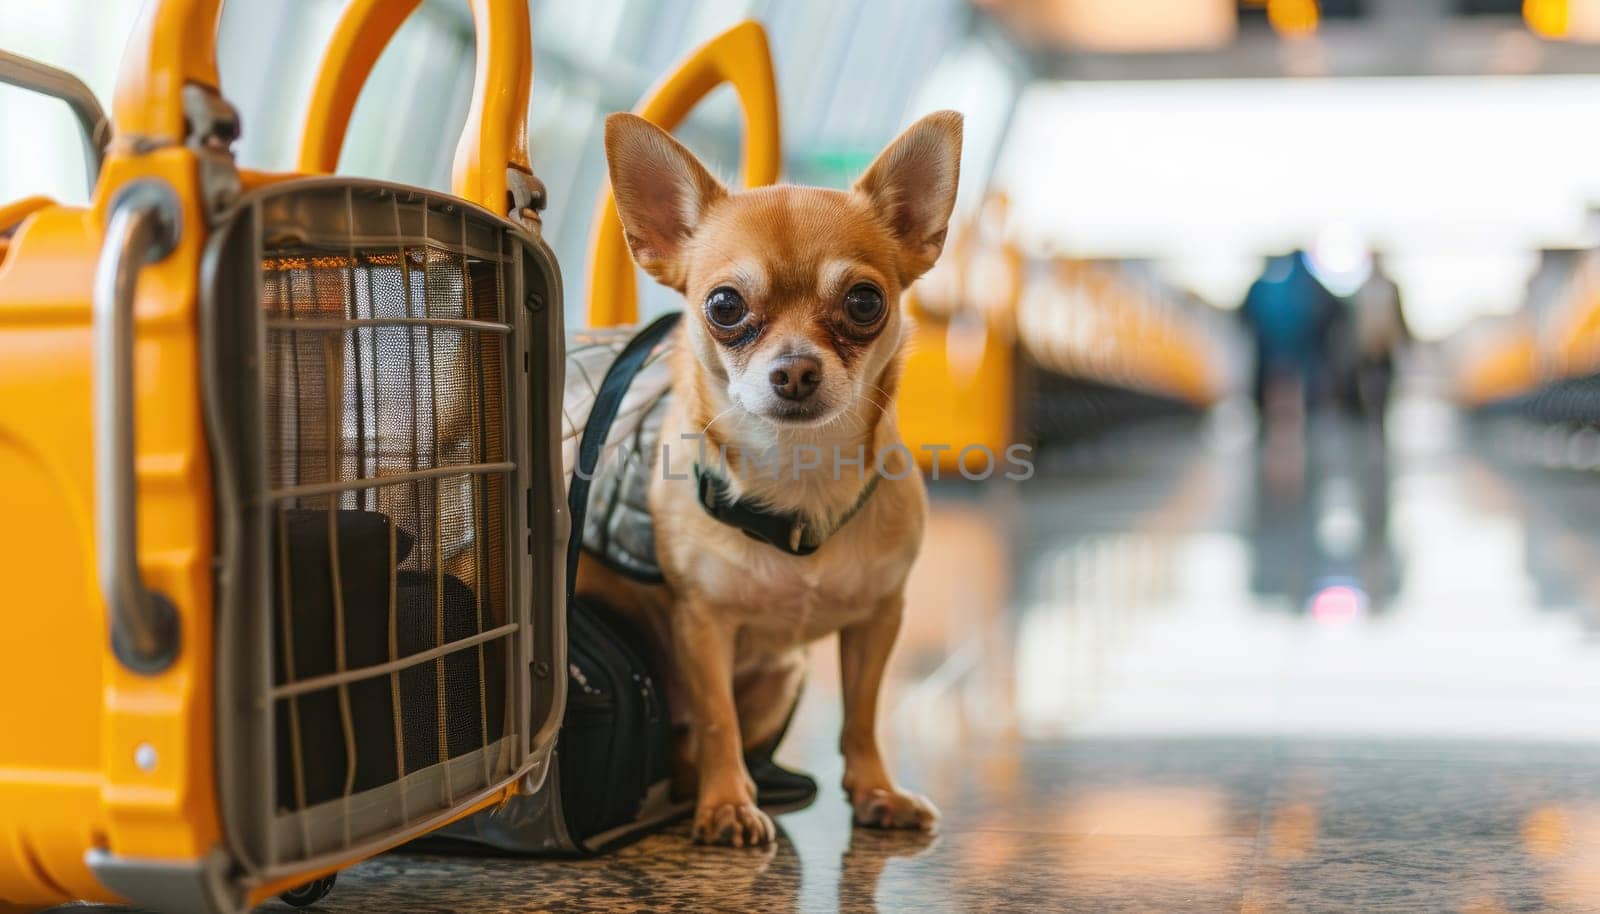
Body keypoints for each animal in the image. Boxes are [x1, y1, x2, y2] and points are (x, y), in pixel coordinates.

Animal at [579, 111, 960, 845]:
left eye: (865, 301)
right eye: (724, 305)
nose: (796, 370)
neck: (798, 476)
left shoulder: (878, 618)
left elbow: (862, 714)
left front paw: (875, 791)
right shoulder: (702, 627)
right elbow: (717, 718)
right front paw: (727, 804)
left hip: (783, 678)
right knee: (699, 736)